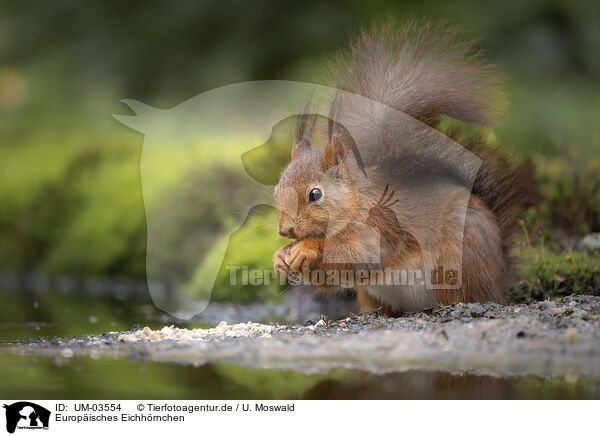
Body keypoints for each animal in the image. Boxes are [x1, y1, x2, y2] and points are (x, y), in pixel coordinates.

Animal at [272, 19, 536, 314]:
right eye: (276, 190)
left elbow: (358, 253)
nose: (285, 231)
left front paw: (306, 247)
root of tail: (499, 274)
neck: (355, 200)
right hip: (371, 294)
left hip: (458, 260)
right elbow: (331, 277)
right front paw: (280, 257)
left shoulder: (380, 223)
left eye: (315, 194)